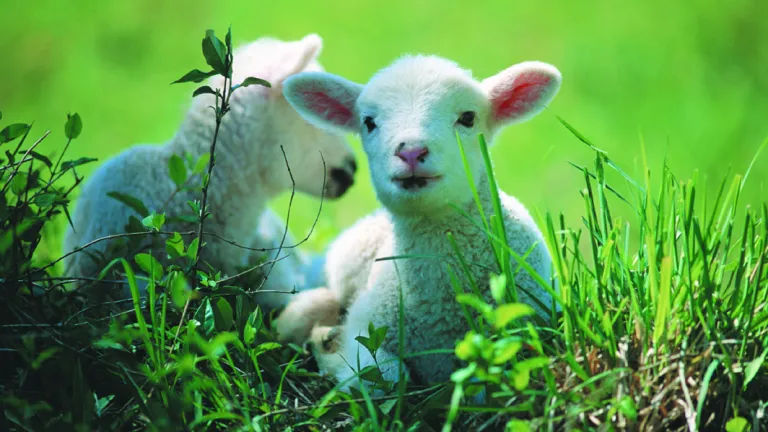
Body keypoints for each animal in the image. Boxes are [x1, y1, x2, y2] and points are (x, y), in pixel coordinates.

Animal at [275, 54, 561, 392]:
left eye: (468, 118)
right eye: (368, 122)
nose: (411, 151)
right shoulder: (366, 326)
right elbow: (385, 376)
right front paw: (330, 353)